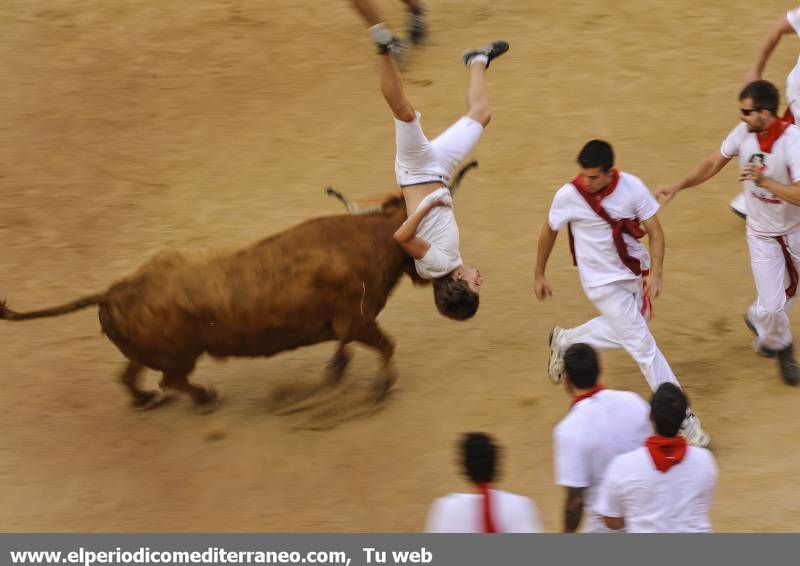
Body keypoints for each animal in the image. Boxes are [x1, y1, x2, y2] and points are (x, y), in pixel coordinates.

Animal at [1, 162, 476, 410]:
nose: (462, 298)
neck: (372, 239)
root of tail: (115, 290)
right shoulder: (357, 319)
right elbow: (386, 345)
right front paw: (380, 387)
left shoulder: (348, 324)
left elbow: (348, 346)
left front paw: (337, 370)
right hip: (180, 354)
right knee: (172, 380)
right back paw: (205, 397)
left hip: (149, 350)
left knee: (130, 374)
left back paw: (145, 400)